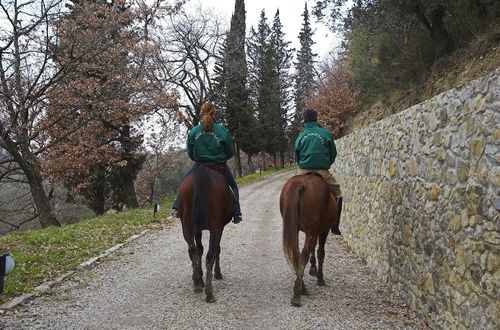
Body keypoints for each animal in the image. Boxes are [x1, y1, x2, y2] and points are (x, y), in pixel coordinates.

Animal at [178, 164, 234, 302]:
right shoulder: (219, 227)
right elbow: (217, 249)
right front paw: (217, 273)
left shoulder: (197, 229)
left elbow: (199, 249)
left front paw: (199, 277)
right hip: (215, 227)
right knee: (210, 255)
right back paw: (209, 293)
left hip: (186, 225)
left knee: (192, 250)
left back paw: (197, 282)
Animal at [280, 173, 338, 306]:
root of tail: (300, 183)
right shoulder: (323, 231)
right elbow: (321, 252)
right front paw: (320, 278)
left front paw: (313, 268)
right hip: (313, 231)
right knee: (304, 255)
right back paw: (297, 294)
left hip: (296, 230)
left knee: (297, 256)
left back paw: (302, 288)